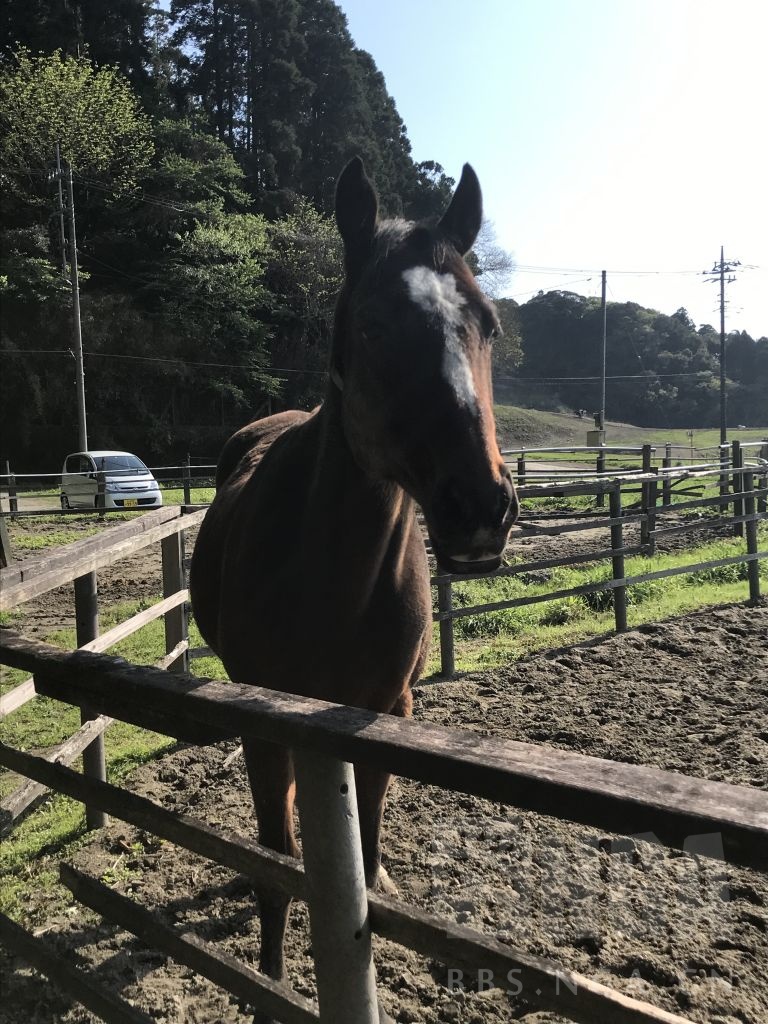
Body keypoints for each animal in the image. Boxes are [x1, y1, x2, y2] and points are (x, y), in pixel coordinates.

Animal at [189, 156, 518, 1021]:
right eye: (372, 325)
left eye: (488, 325)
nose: (481, 506)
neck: (329, 576)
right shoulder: (267, 723)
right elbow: (276, 865)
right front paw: (268, 980)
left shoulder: (384, 714)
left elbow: (363, 849)